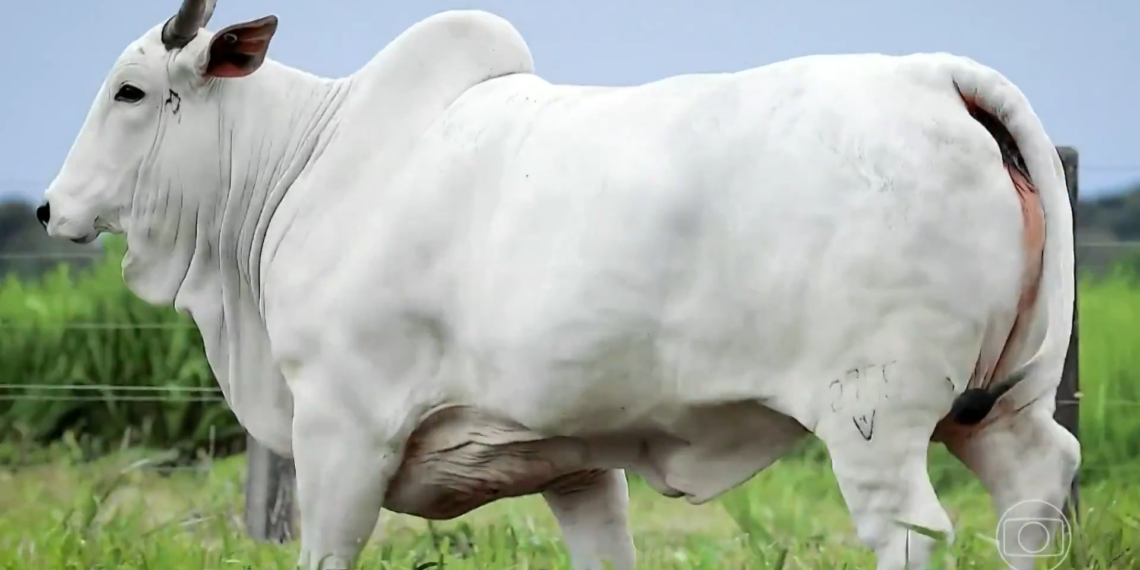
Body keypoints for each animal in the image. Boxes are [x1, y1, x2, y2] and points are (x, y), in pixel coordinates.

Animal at [37, 1, 1079, 568]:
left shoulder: (343, 431)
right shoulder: (575, 459)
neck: (301, 166)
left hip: (874, 421)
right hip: (998, 407)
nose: (48, 209)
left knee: (912, 531)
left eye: (131, 91)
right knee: (1037, 484)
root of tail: (936, 79)